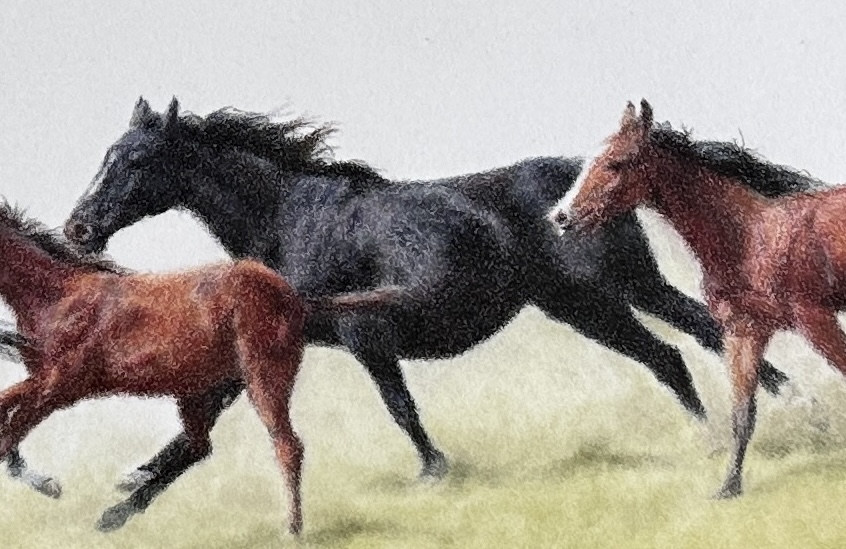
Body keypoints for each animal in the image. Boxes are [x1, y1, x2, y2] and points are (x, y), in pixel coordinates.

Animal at [0, 199, 403, 535]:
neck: (57, 296)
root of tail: (294, 298)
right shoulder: (45, 380)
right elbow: (7, 411)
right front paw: (48, 484)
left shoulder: (61, 385)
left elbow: (8, 434)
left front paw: (48, 485)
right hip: (196, 390)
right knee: (199, 446)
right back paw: (116, 513)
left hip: (264, 377)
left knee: (287, 445)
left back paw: (293, 528)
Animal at [62, 97, 810, 520]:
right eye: (106, 154)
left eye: (133, 160)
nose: (79, 228)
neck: (291, 220)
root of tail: (584, 185)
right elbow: (207, 412)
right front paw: (126, 498)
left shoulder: (363, 334)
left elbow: (400, 409)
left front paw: (433, 471)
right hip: (582, 304)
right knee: (673, 352)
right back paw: (730, 432)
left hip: (616, 289)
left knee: (699, 336)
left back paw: (778, 418)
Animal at [551, 99, 846, 498]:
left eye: (616, 163)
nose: (560, 216)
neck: (751, 236)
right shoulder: (745, 330)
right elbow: (742, 413)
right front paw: (729, 487)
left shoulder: (815, 320)